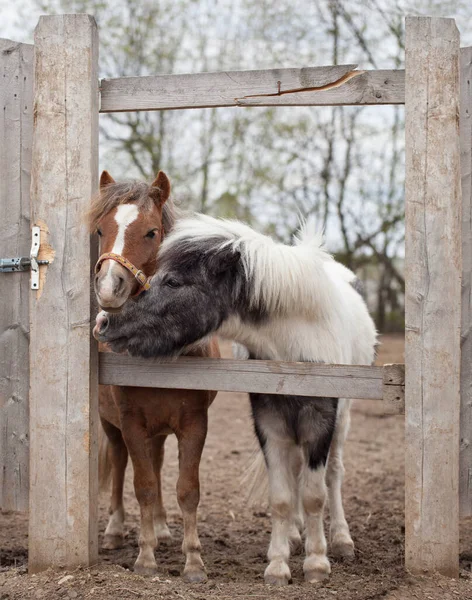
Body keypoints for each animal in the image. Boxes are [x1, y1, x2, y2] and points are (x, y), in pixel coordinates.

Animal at [89, 171, 219, 584]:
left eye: (151, 232)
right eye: (101, 229)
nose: (108, 287)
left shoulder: (194, 422)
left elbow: (187, 489)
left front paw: (193, 562)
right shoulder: (131, 423)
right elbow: (142, 485)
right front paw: (145, 558)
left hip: (161, 429)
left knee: (159, 463)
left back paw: (161, 528)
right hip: (112, 426)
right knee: (119, 467)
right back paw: (115, 531)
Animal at [95, 217, 376, 584]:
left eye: (172, 281)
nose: (103, 321)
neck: (294, 348)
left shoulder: (320, 421)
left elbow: (315, 495)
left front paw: (316, 563)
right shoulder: (270, 422)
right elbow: (282, 497)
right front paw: (278, 564)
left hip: (342, 421)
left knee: (334, 473)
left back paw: (341, 539)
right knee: (296, 470)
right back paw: (295, 534)